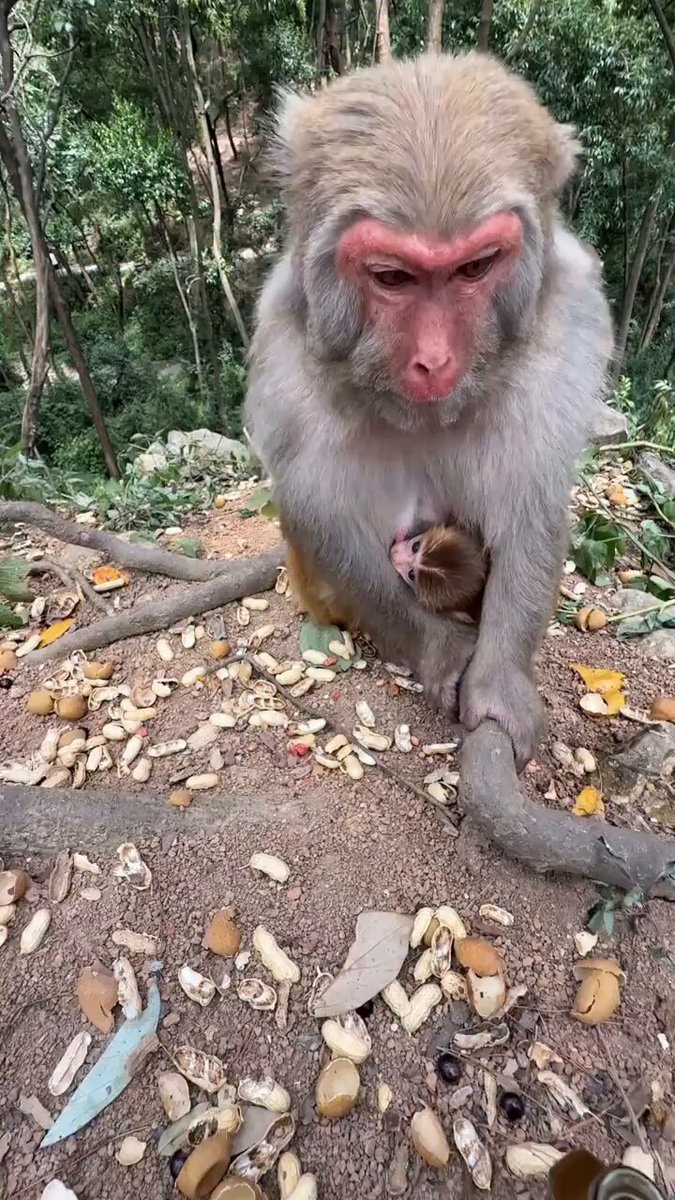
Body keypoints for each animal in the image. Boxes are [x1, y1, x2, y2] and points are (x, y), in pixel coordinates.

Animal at [245, 52, 613, 770]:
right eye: (393, 277)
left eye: (474, 268)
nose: (435, 361)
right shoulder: (284, 361)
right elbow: (318, 512)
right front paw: (444, 651)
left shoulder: (567, 327)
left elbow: (531, 494)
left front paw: (499, 680)